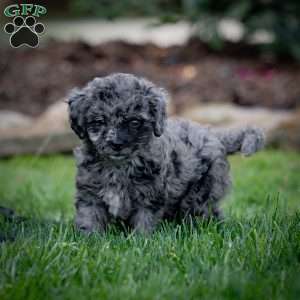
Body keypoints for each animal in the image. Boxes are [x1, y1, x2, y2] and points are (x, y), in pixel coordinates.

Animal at [68, 73, 264, 234]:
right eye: (99, 121)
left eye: (134, 122)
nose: (116, 144)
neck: (119, 166)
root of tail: (216, 136)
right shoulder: (90, 194)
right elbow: (89, 219)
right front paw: (90, 240)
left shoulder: (149, 196)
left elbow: (144, 222)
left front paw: (140, 241)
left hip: (200, 192)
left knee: (202, 213)